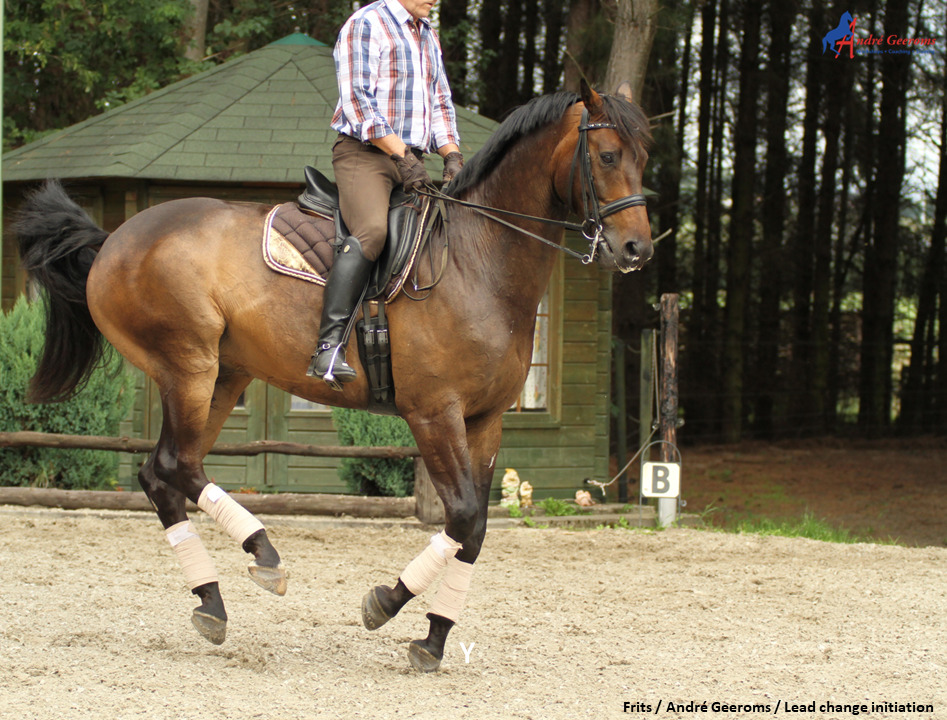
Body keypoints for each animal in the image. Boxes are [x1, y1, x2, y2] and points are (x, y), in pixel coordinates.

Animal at [14, 81, 652, 672]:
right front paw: (387, 604)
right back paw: (263, 555)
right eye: (607, 156)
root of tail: (112, 241)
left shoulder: (485, 421)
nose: (636, 249)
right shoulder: (434, 413)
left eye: (645, 155)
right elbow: (465, 516)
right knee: (175, 466)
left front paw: (432, 639)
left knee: (162, 472)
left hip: (224, 375)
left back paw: (213, 603)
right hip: (188, 364)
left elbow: (473, 532)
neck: (478, 263)